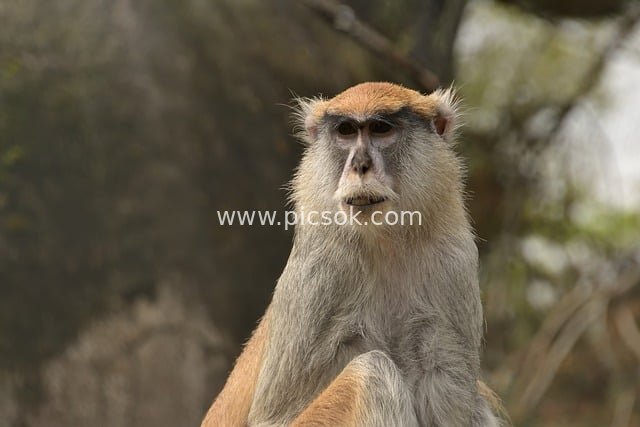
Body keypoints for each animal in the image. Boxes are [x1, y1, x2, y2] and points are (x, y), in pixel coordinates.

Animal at [202, 82, 501, 426]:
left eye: (380, 129)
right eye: (345, 131)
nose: (360, 165)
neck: (385, 243)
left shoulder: (453, 261)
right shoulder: (320, 268)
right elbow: (273, 417)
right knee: (371, 375)